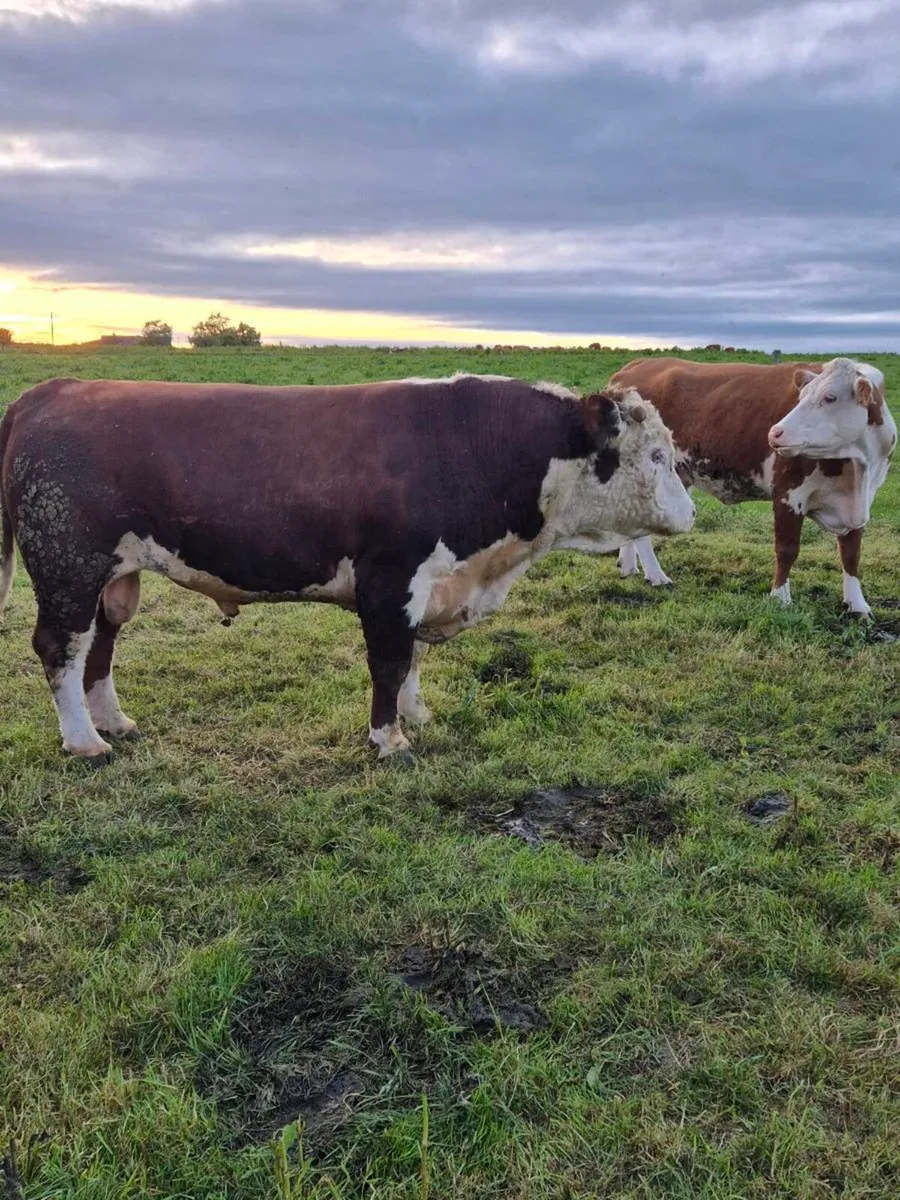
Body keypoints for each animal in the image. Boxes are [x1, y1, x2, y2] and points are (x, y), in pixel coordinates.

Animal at [0, 372, 695, 763]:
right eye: (656, 456)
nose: (691, 514)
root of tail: (55, 389)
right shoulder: (390, 579)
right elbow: (390, 660)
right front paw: (390, 741)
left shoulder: (428, 582)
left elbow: (411, 659)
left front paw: (418, 716)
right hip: (67, 564)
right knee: (60, 646)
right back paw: (84, 742)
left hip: (114, 575)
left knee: (100, 643)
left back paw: (113, 722)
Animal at [609, 357, 896, 615]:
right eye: (801, 397)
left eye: (830, 397)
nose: (775, 432)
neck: (856, 471)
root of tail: (632, 368)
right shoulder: (788, 493)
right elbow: (787, 549)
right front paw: (780, 598)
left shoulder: (861, 503)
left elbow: (851, 554)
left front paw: (857, 605)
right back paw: (656, 575)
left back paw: (629, 566)